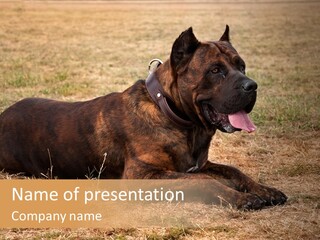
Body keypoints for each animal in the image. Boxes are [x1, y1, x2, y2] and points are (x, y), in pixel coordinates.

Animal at [0, 26, 288, 209]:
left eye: (242, 66)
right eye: (215, 70)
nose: (252, 86)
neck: (171, 114)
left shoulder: (200, 164)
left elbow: (234, 171)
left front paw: (264, 189)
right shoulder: (143, 175)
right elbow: (204, 182)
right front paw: (242, 198)